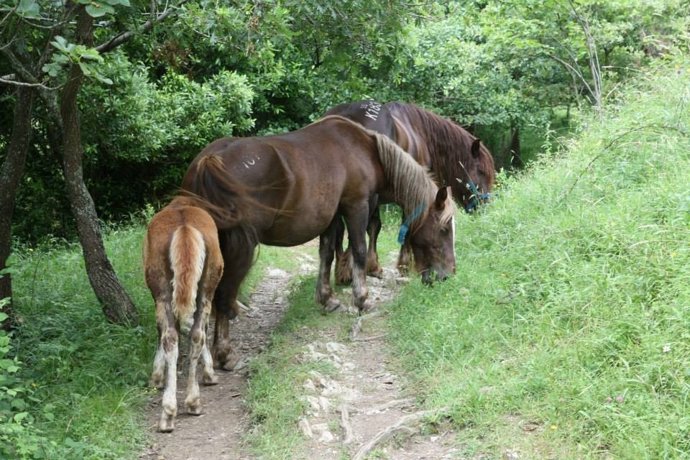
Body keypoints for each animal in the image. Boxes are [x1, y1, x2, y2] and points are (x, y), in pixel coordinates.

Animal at [143, 195, 227, 432]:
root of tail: (185, 227)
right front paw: (209, 373)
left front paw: (157, 376)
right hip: (206, 287)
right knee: (198, 333)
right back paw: (193, 401)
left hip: (163, 290)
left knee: (169, 336)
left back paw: (168, 413)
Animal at [181, 115, 457, 370]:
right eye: (444, 229)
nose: (448, 275)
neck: (365, 150)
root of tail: (209, 161)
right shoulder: (356, 207)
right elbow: (358, 250)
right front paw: (362, 299)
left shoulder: (332, 217)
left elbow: (327, 253)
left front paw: (327, 298)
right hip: (240, 250)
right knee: (223, 296)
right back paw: (224, 354)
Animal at [323, 100, 496, 282]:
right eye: (481, 171)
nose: (484, 206)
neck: (420, 134)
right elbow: (404, 225)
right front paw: (403, 265)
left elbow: (374, 227)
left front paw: (372, 266)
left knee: (339, 229)